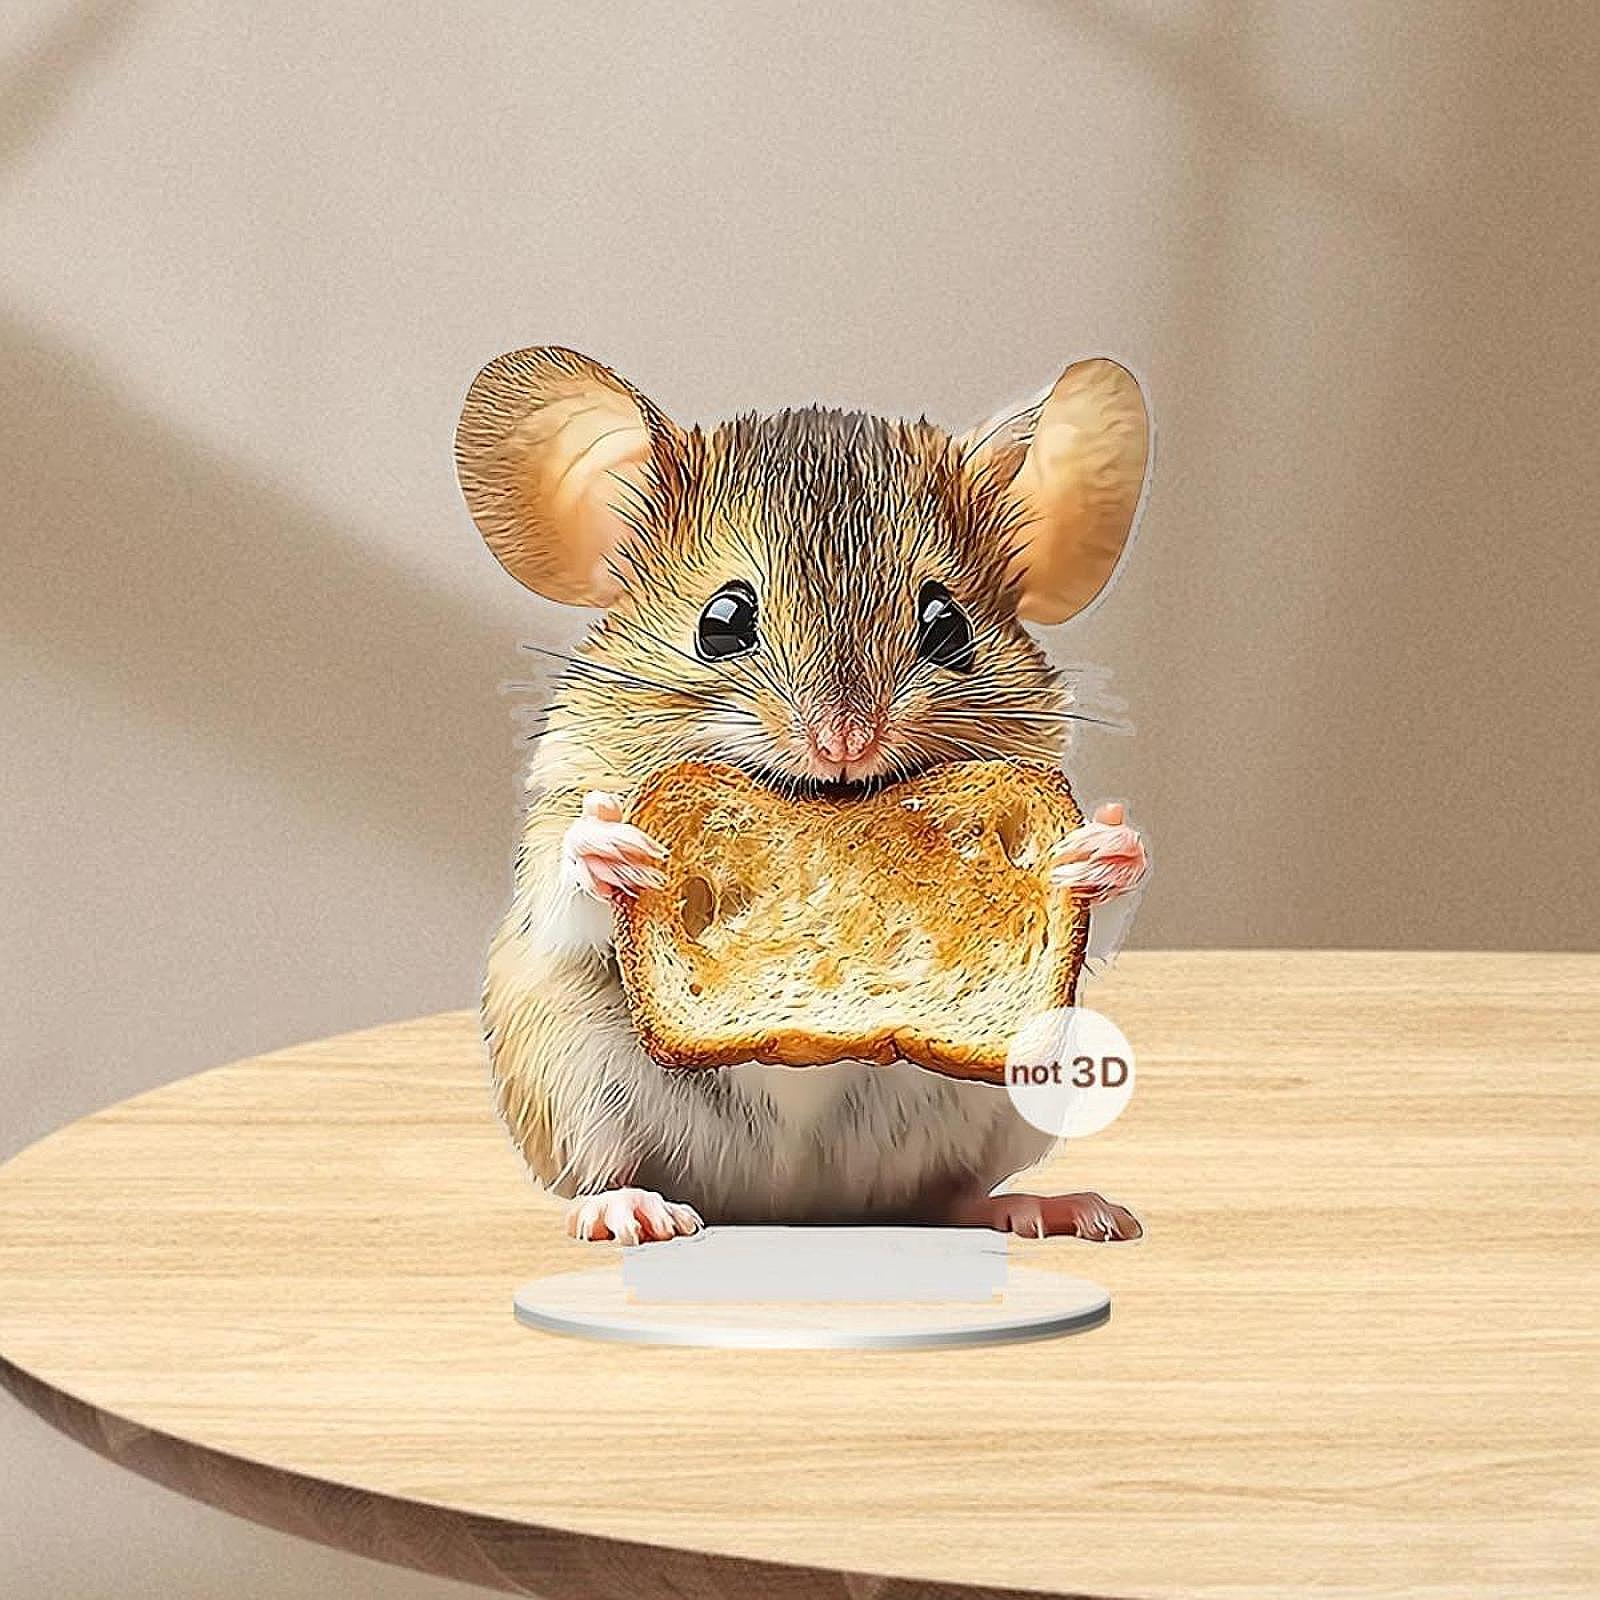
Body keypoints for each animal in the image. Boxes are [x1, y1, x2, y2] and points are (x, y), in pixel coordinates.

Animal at [456, 346, 1151, 1245]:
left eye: (948, 625)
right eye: (721, 621)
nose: (845, 746)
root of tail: (793, 1205)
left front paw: (1104, 847)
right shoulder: (554, 821)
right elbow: (567, 885)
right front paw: (615, 848)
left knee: (953, 1194)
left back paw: (1061, 1208)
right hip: (567, 1074)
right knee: (602, 1170)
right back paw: (634, 1213)